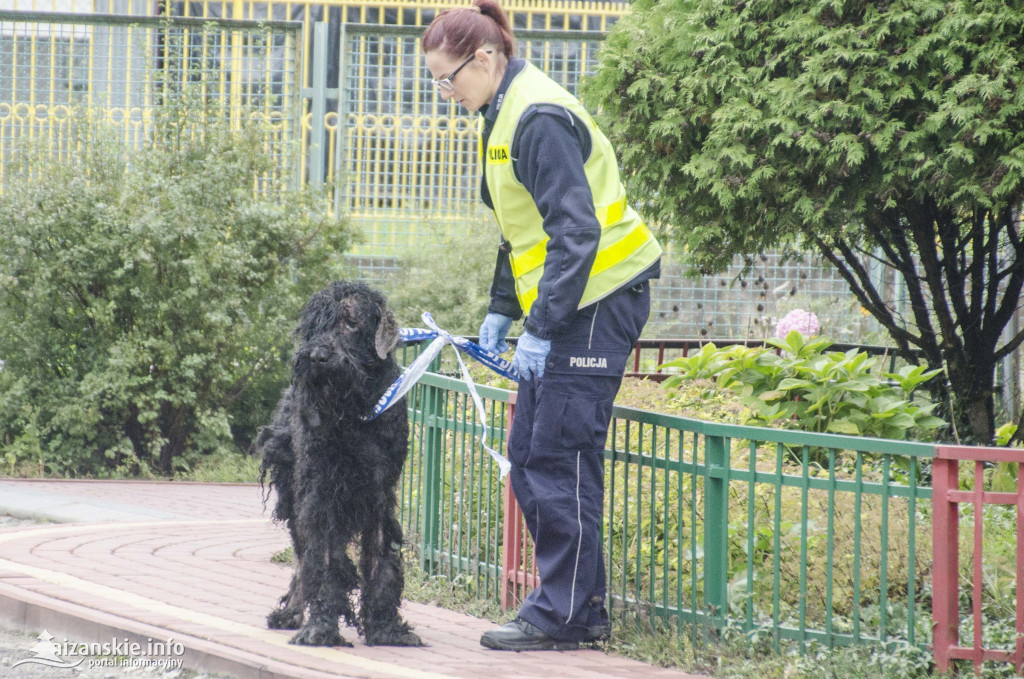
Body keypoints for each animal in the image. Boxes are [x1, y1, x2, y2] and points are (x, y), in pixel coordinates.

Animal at [258, 280, 421, 647]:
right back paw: (292, 612)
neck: (355, 412)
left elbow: (380, 561)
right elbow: (324, 564)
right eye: (314, 325)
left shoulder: (378, 495)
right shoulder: (321, 495)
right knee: (303, 560)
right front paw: (320, 627)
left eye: (351, 323)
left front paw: (384, 627)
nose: (317, 357)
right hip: (295, 499)